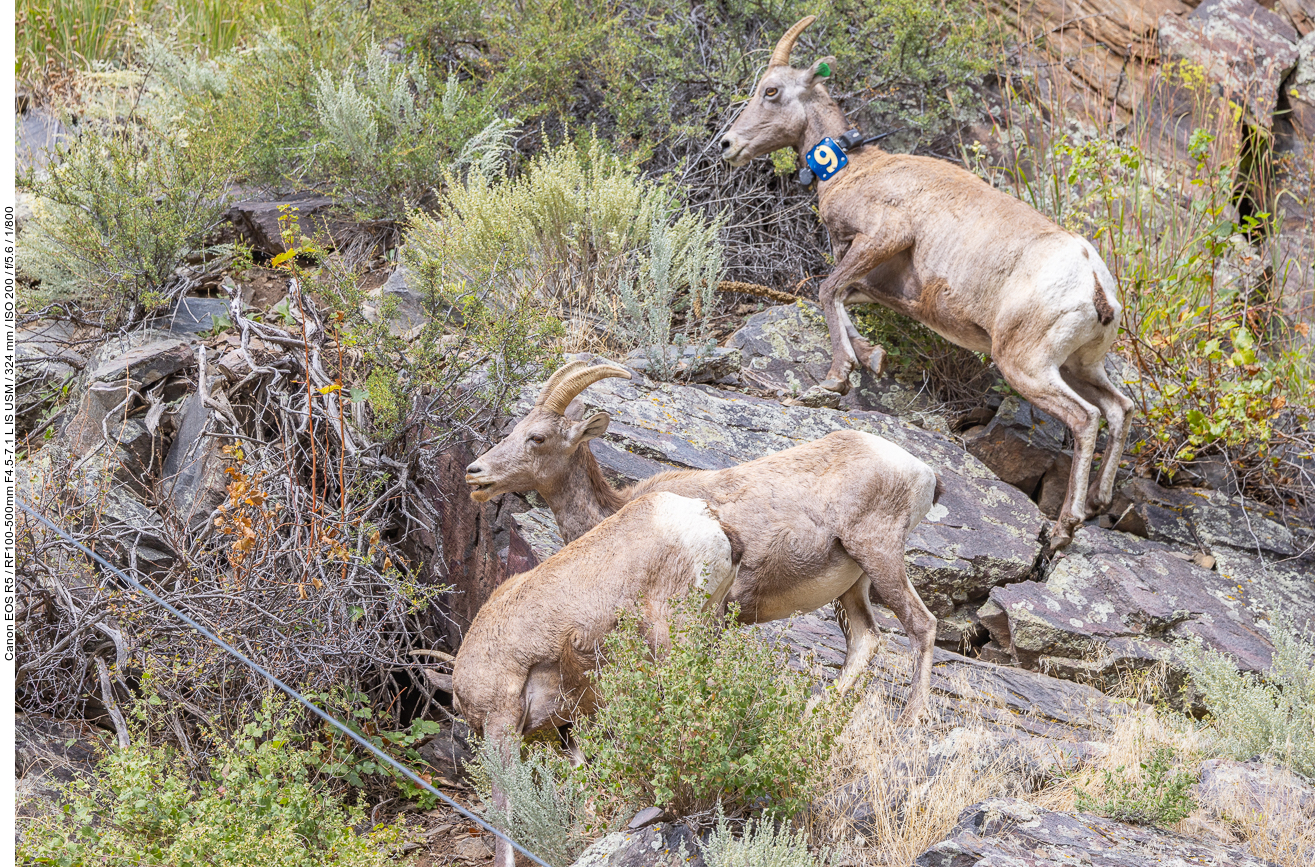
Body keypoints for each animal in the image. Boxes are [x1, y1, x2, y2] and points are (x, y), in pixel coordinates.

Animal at [468, 355, 941, 720]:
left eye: (538, 437)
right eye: (516, 430)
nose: (476, 473)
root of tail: (922, 472)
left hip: (879, 554)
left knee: (921, 624)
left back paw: (911, 719)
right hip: (853, 585)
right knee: (865, 640)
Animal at [715, 16, 1136, 552]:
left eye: (771, 90)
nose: (727, 145)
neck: (856, 169)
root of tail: (1094, 280)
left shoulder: (885, 236)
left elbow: (827, 290)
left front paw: (834, 380)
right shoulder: (878, 280)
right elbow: (843, 297)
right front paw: (871, 357)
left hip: (1027, 367)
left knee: (1086, 419)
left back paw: (1065, 528)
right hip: (1081, 365)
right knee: (1120, 409)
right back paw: (1101, 501)